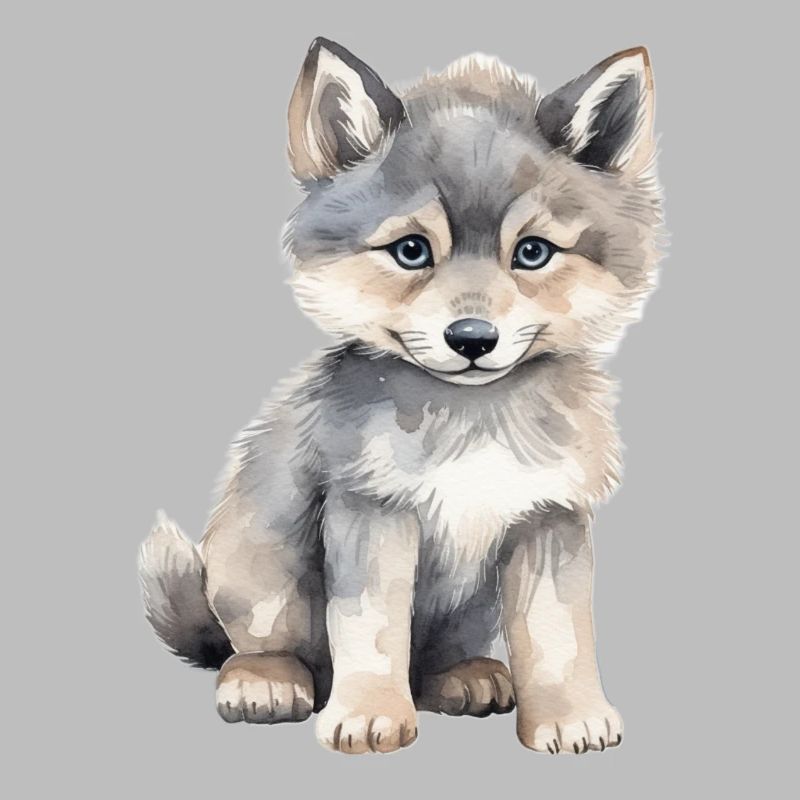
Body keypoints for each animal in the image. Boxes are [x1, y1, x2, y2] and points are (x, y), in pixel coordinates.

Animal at [139, 38, 662, 755]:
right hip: (261, 567)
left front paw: (568, 717)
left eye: (532, 253)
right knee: (253, 645)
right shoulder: (371, 510)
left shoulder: (549, 516)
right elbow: (372, 629)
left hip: (471, 609)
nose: (472, 338)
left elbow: (558, 635)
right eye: (412, 251)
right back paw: (265, 681)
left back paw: (465, 677)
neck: (474, 420)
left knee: (435, 659)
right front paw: (369, 715)